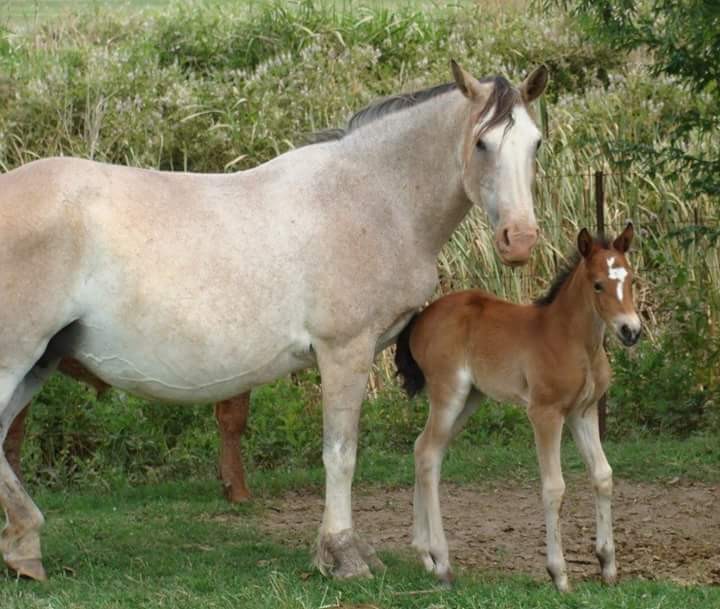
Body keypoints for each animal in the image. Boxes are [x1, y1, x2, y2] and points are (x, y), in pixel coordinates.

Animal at [394, 223, 640, 588]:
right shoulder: (545, 413)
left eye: (632, 279)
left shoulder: (583, 412)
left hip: (470, 399)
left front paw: (608, 565)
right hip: (448, 393)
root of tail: (421, 316)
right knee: (427, 453)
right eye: (598, 284)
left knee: (423, 448)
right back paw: (442, 562)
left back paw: (425, 555)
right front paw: (559, 574)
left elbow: (603, 475)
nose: (631, 331)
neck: (572, 340)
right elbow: (554, 487)